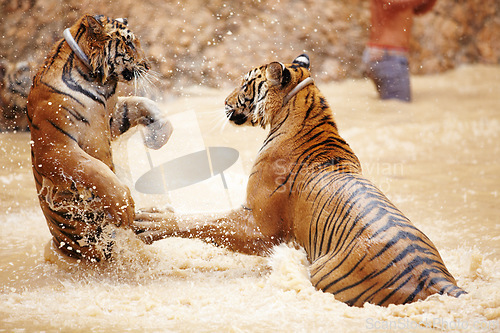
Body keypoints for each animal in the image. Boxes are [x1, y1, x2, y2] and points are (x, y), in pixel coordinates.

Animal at [28, 13, 174, 262]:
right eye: (130, 43)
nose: (147, 65)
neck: (96, 80)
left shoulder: (112, 118)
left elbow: (142, 103)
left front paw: (159, 135)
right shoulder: (54, 147)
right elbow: (93, 168)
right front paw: (124, 207)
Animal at [134, 53, 468, 304]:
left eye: (245, 85)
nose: (224, 101)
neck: (305, 109)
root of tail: (436, 276)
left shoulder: (260, 225)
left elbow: (202, 221)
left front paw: (148, 220)